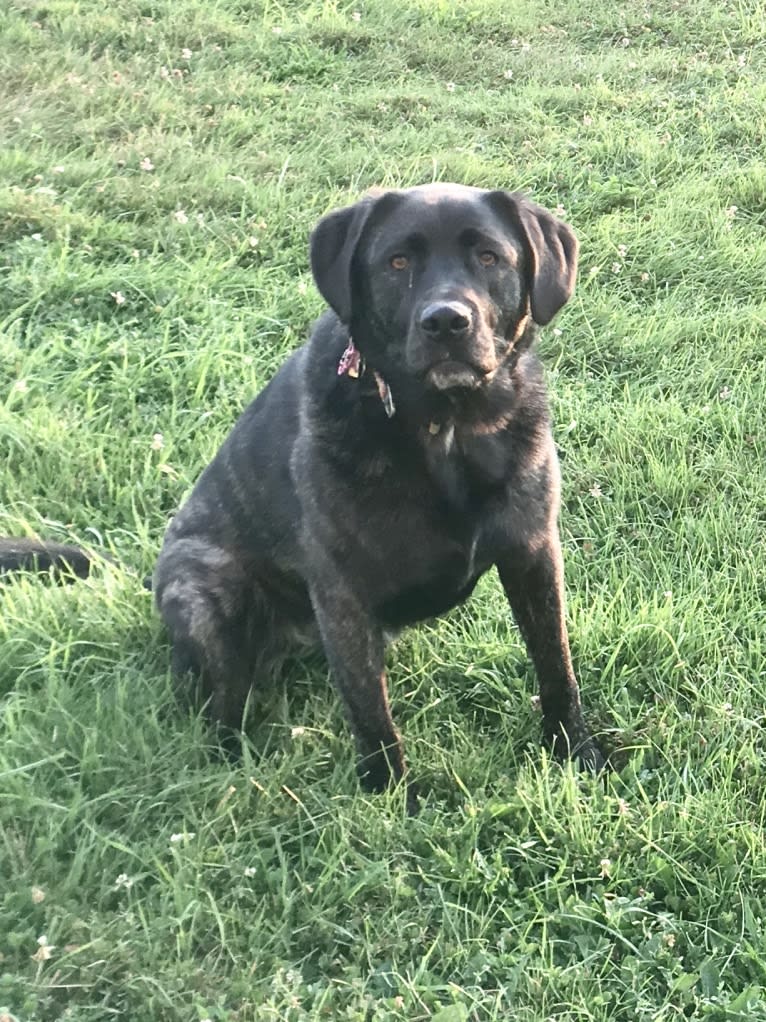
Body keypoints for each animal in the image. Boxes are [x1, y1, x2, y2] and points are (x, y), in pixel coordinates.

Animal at [3, 188, 608, 801]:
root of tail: (149, 573)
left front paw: (576, 751)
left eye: (489, 257)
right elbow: (370, 712)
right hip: (207, 589)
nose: (445, 321)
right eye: (397, 262)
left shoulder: (532, 555)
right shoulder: (343, 593)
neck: (447, 430)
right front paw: (391, 797)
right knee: (220, 710)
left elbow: (555, 665)